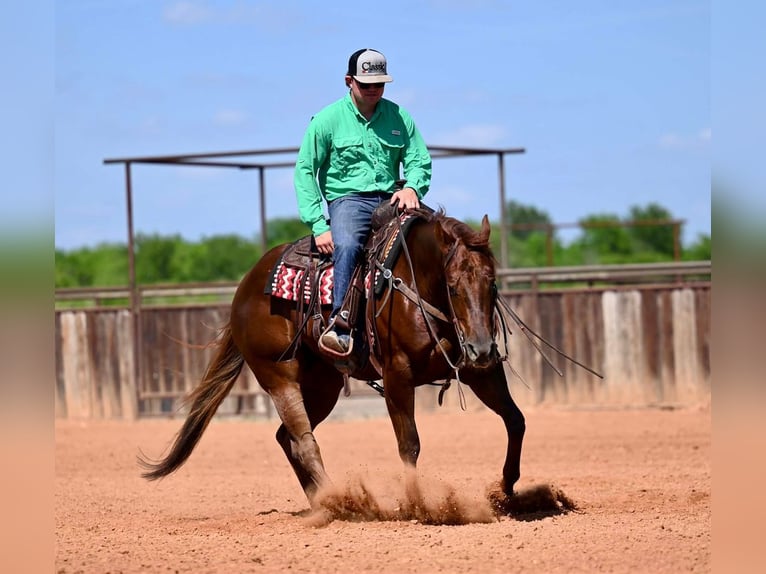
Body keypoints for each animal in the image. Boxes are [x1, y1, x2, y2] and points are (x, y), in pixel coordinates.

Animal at [139, 207, 526, 507]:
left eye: (492, 284)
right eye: (454, 287)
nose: (481, 347)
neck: (414, 285)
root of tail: (245, 288)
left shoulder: (481, 372)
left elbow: (515, 420)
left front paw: (505, 490)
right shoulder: (397, 374)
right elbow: (409, 444)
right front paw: (418, 504)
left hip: (322, 386)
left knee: (286, 438)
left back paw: (322, 501)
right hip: (278, 376)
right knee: (303, 442)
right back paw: (341, 502)